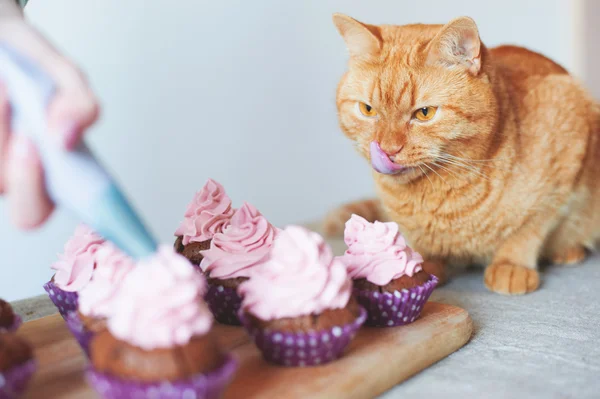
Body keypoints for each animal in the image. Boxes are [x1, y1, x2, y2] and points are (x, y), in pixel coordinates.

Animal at [326, 14, 600, 296]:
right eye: (367, 110)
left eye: (424, 113)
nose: (388, 149)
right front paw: (421, 264)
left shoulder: (566, 160)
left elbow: (529, 229)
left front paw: (511, 264)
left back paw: (568, 251)